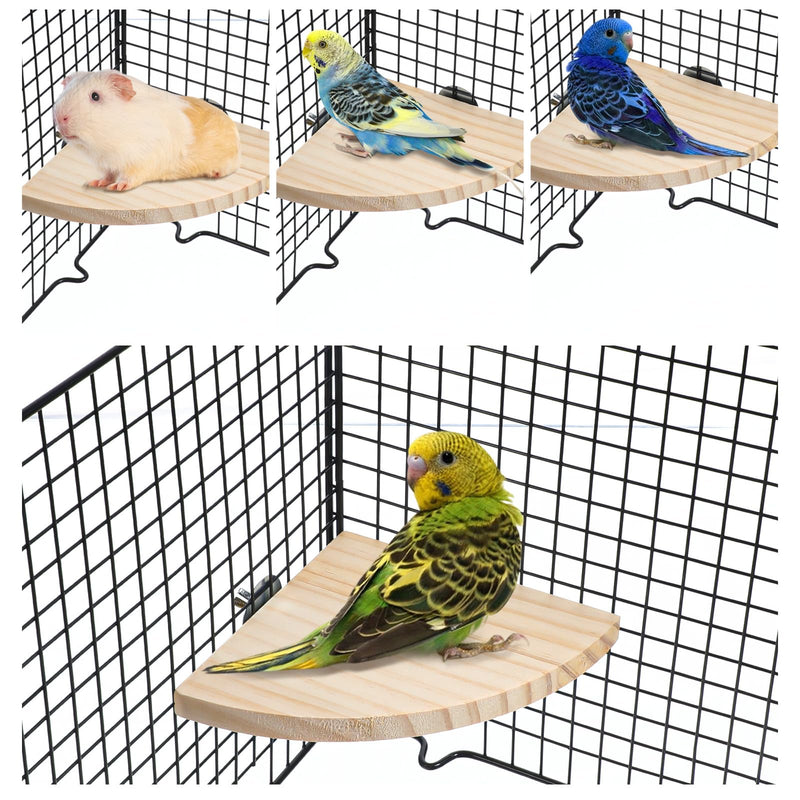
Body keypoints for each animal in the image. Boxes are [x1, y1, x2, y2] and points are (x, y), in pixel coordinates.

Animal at [53, 70, 241, 191]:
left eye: (95, 96)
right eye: (65, 91)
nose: (60, 117)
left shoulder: (138, 162)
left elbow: (129, 178)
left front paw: (117, 187)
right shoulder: (108, 165)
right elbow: (107, 175)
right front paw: (96, 183)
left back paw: (215, 174)